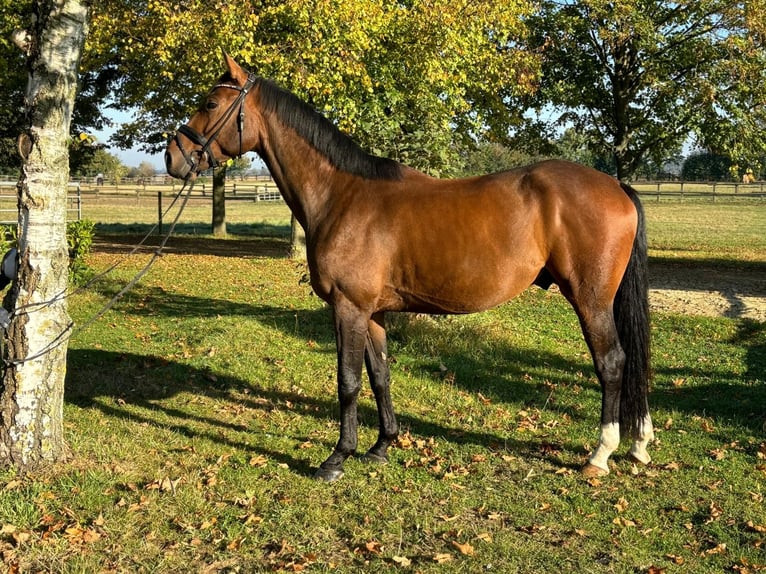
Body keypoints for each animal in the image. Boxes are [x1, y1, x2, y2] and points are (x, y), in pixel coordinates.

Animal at [166, 56, 656, 484]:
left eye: (210, 103)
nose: (174, 156)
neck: (342, 194)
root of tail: (616, 186)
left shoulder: (348, 308)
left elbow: (348, 381)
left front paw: (337, 458)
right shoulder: (374, 313)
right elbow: (380, 376)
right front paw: (382, 446)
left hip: (591, 300)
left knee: (612, 362)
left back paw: (600, 454)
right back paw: (638, 443)